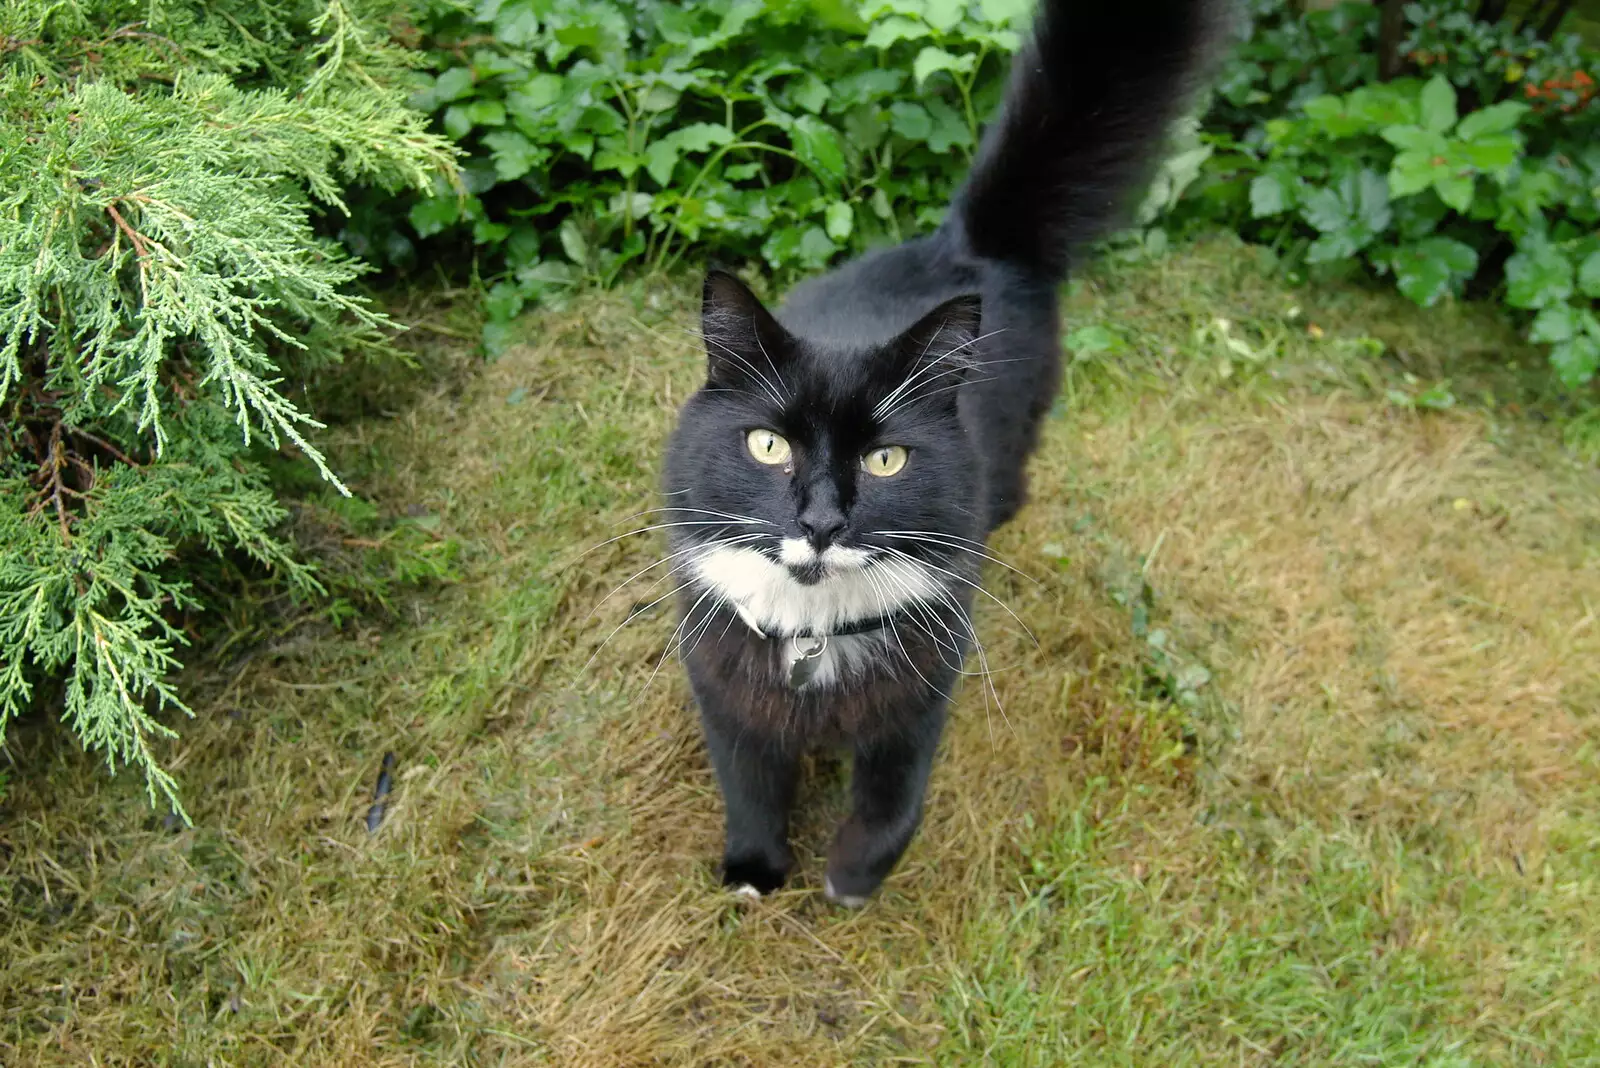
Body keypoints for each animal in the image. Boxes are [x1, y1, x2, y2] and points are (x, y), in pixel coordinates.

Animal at [659, 0, 1222, 908]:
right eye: (768, 444)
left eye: (886, 460)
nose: (821, 521)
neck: (816, 635)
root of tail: (969, 244)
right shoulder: (725, 688)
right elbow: (747, 783)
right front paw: (753, 871)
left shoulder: (924, 693)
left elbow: (896, 800)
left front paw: (851, 880)